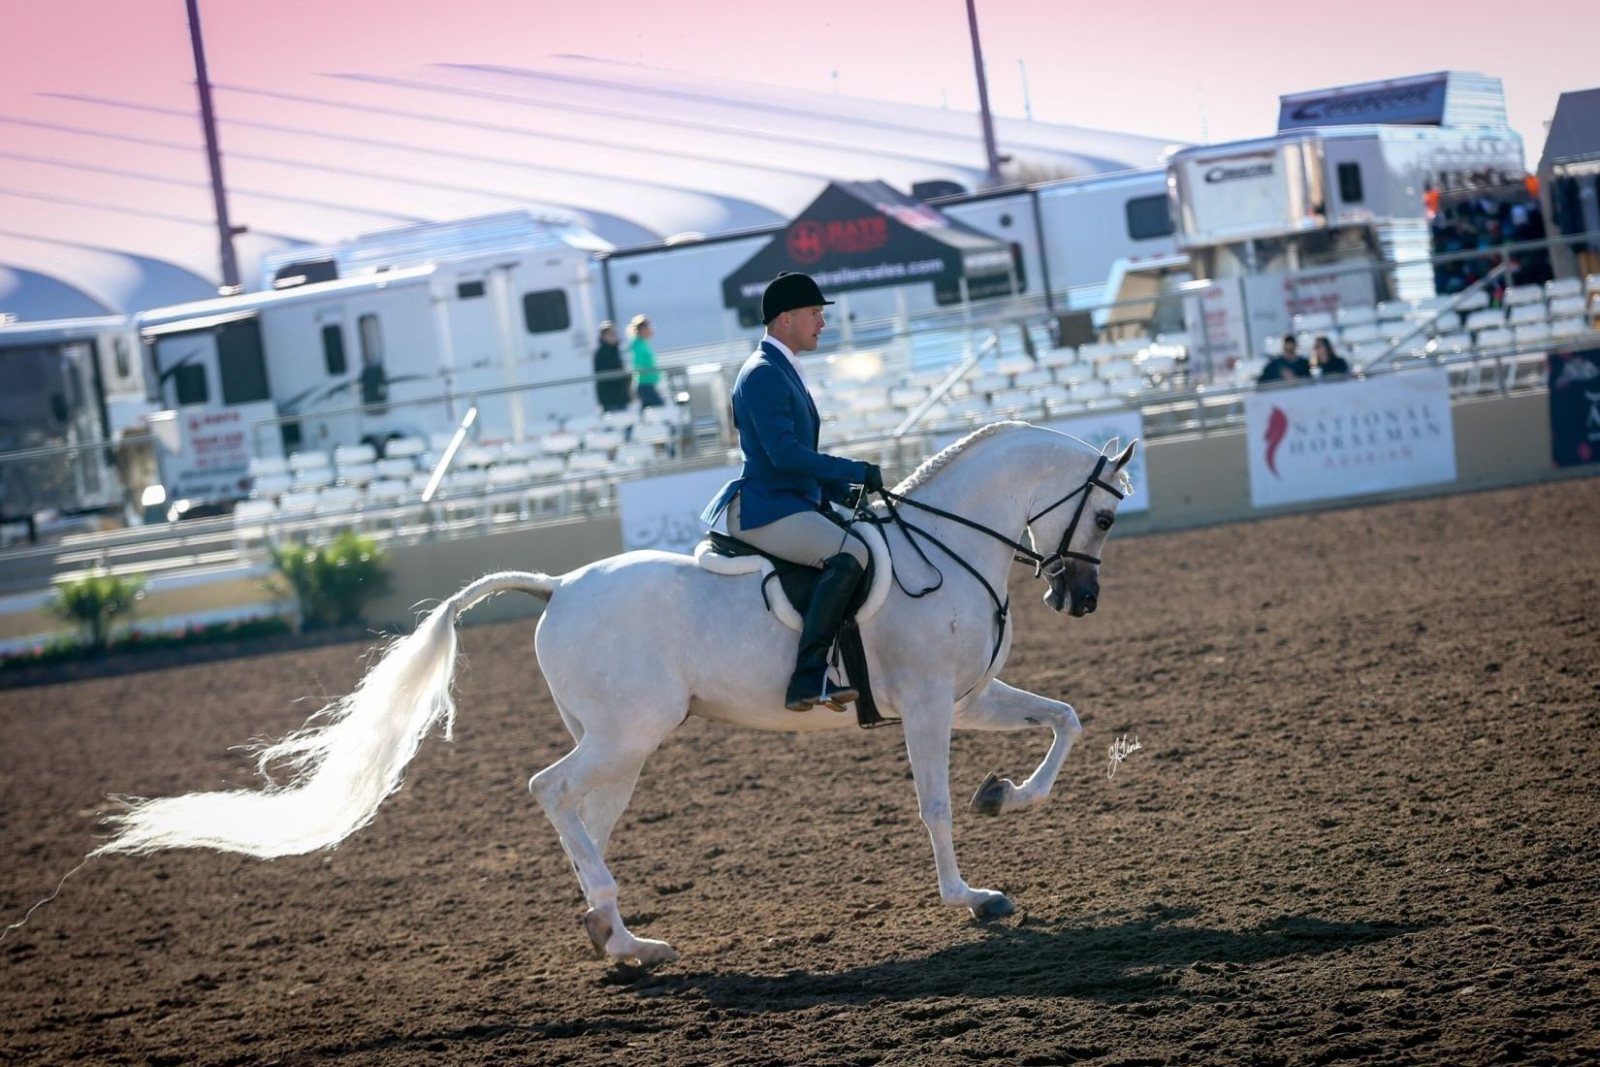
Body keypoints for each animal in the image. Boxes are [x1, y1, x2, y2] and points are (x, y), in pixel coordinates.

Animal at [94, 421, 1138, 966]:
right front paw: (973, 896)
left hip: (624, 742)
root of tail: (558, 586)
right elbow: (933, 804)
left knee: (583, 812)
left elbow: (1065, 718)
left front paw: (1008, 794)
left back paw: (621, 935)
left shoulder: (968, 694)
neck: (948, 543)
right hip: (628, 734)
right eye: (1107, 512)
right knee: (548, 791)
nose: (1078, 598)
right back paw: (614, 921)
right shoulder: (924, 703)